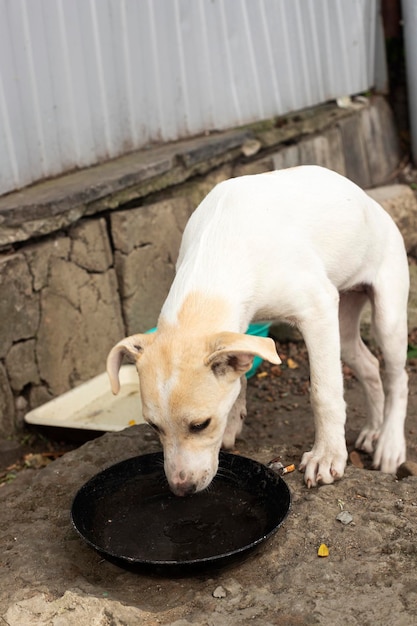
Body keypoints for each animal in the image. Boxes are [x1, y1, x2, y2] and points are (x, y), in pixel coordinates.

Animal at [105, 165, 408, 492]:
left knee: (397, 378)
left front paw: (327, 456)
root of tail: (374, 205)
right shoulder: (243, 324)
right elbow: (240, 373)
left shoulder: (317, 311)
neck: (217, 248)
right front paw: (233, 420)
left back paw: (390, 444)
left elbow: (323, 392)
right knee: (369, 366)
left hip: (387, 319)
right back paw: (373, 430)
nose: (181, 489)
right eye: (153, 426)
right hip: (344, 327)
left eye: (200, 425)